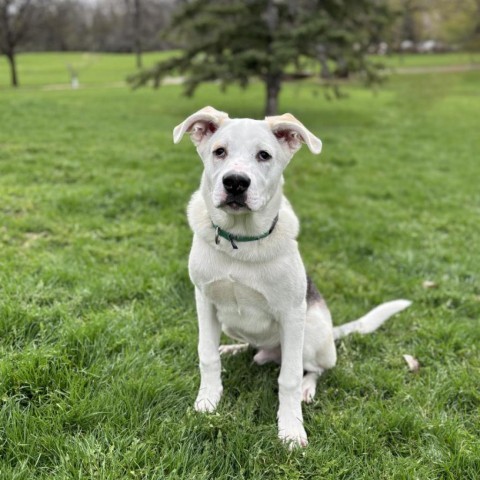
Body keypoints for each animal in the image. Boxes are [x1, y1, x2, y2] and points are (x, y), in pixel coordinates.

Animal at [174, 107, 410, 448]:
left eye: (264, 155)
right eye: (219, 151)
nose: (235, 183)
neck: (241, 242)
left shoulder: (291, 313)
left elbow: (288, 378)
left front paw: (291, 429)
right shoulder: (204, 299)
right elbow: (206, 356)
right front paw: (207, 401)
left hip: (311, 333)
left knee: (315, 368)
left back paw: (307, 388)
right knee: (251, 347)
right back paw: (233, 349)